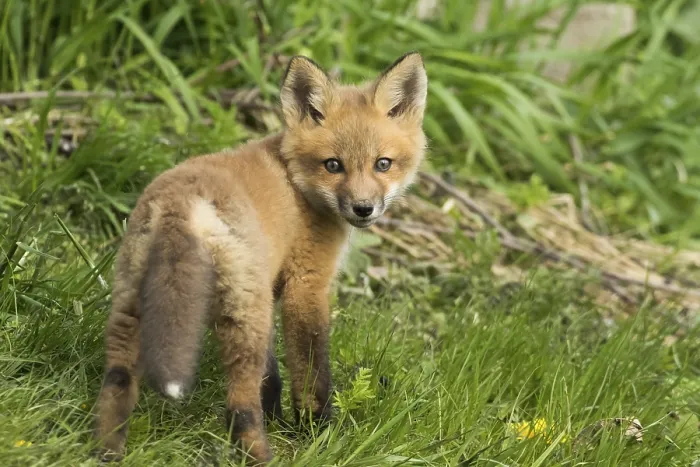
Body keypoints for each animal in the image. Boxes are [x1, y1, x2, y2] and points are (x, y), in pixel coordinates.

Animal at [93, 51, 428, 464]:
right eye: (333, 165)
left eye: (383, 164)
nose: (363, 209)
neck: (296, 184)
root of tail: (180, 206)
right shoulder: (305, 285)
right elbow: (311, 371)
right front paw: (317, 433)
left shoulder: (268, 286)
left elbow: (272, 378)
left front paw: (280, 419)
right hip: (243, 318)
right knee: (239, 406)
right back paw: (262, 456)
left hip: (133, 306)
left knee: (116, 382)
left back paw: (107, 451)